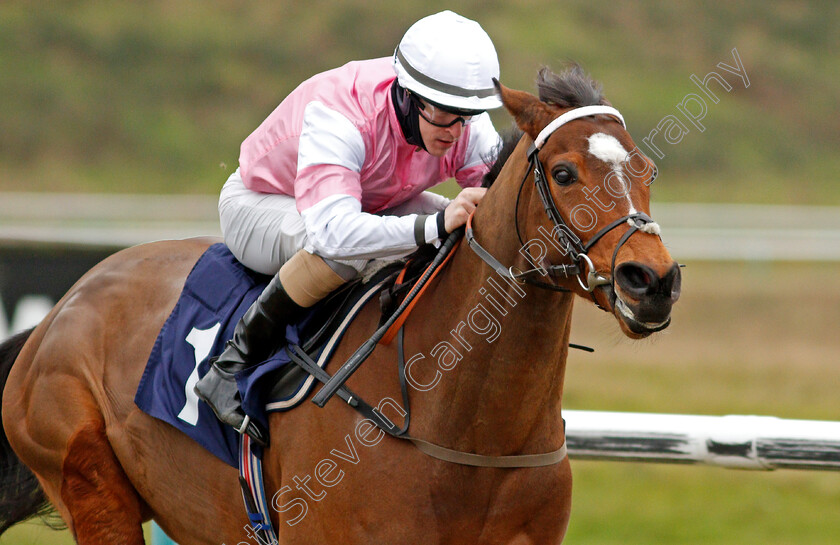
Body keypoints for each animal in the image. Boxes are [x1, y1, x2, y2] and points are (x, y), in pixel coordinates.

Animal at [0, 66, 680, 540]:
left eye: (647, 170)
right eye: (563, 173)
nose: (651, 280)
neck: (473, 433)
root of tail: (60, 310)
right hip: (90, 482)